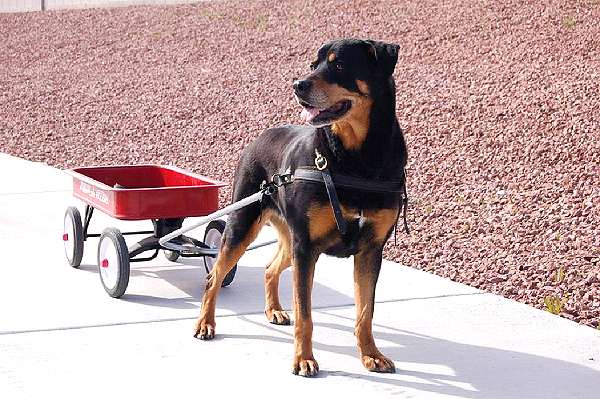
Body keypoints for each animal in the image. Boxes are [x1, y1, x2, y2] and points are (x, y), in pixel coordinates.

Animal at [195, 38, 410, 378]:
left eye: (338, 64)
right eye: (313, 65)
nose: (298, 85)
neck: (356, 159)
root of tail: (262, 134)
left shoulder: (370, 250)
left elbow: (365, 312)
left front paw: (371, 355)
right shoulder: (307, 247)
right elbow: (306, 314)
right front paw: (304, 360)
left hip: (290, 239)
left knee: (270, 269)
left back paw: (274, 310)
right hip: (244, 224)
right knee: (214, 275)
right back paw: (205, 324)